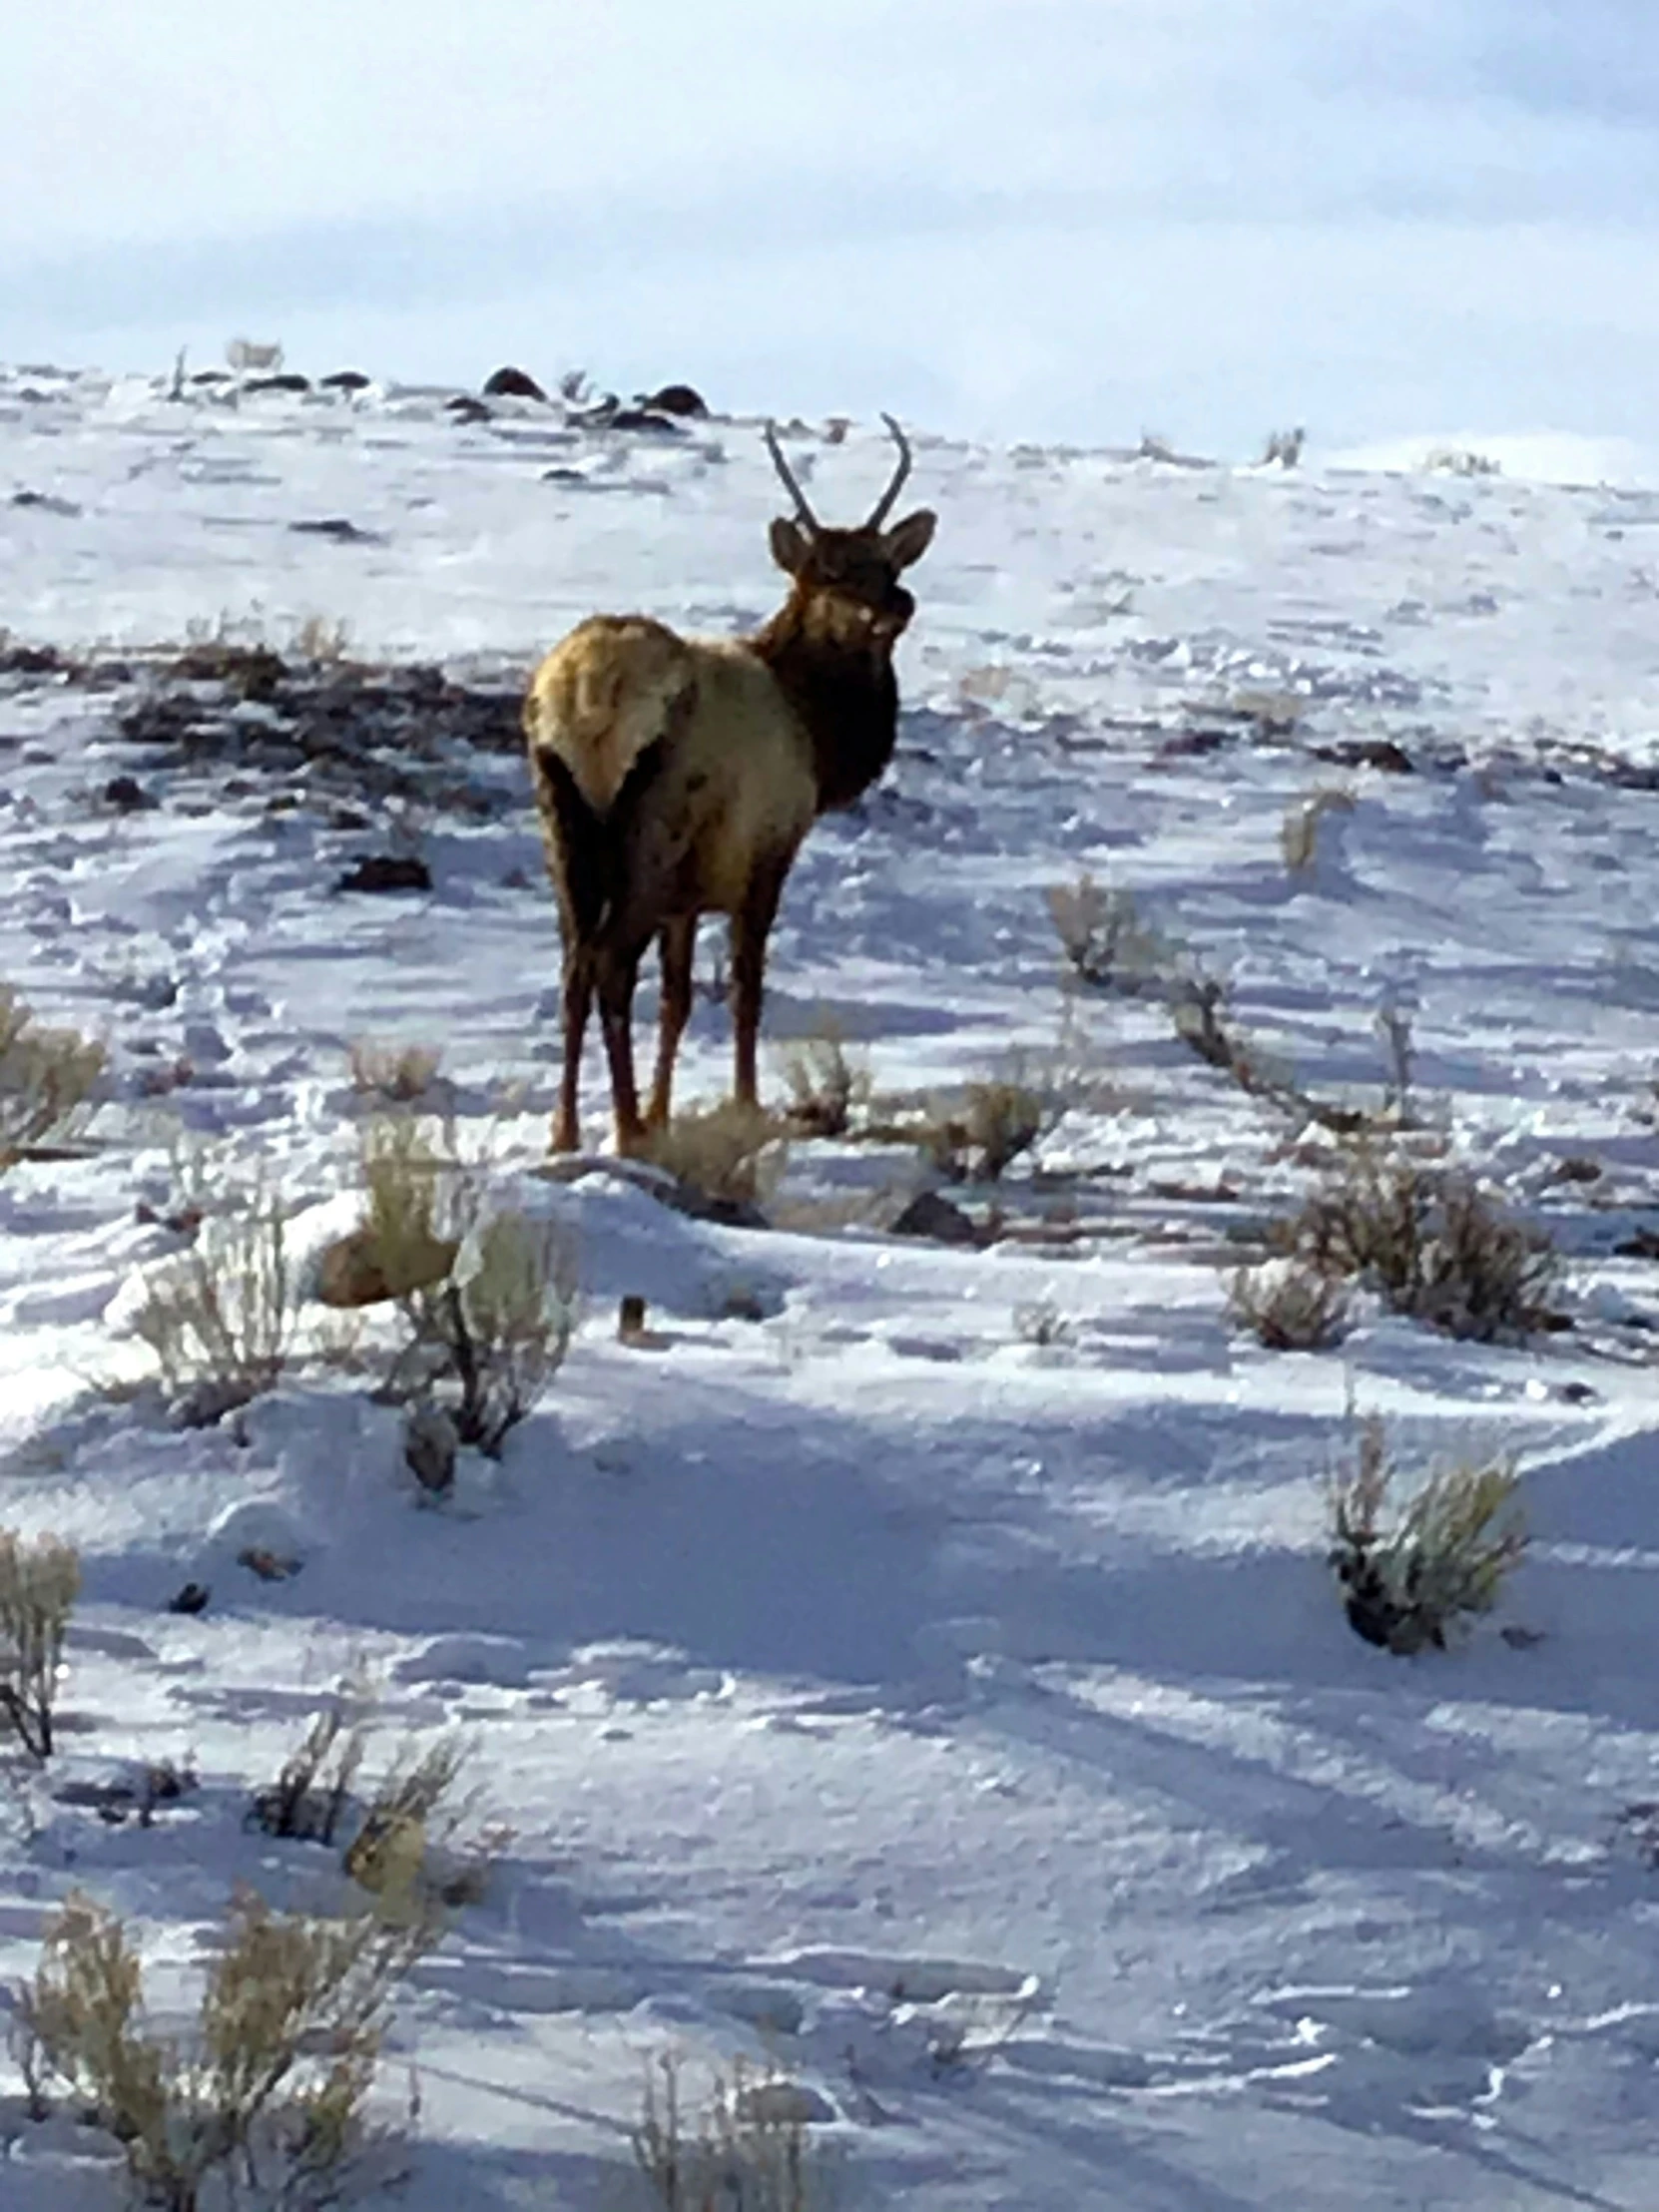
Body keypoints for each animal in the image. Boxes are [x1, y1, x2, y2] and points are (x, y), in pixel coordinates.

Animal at [526, 408, 937, 1159]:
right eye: (826, 571)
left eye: (886, 563)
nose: (898, 603)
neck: (818, 733)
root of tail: (589, 695)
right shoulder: (766, 851)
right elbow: (746, 986)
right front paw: (743, 1105)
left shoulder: (687, 897)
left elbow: (679, 998)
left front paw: (663, 1109)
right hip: (652, 827)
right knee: (609, 963)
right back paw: (625, 1130)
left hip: (561, 822)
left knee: (574, 965)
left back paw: (566, 1131)